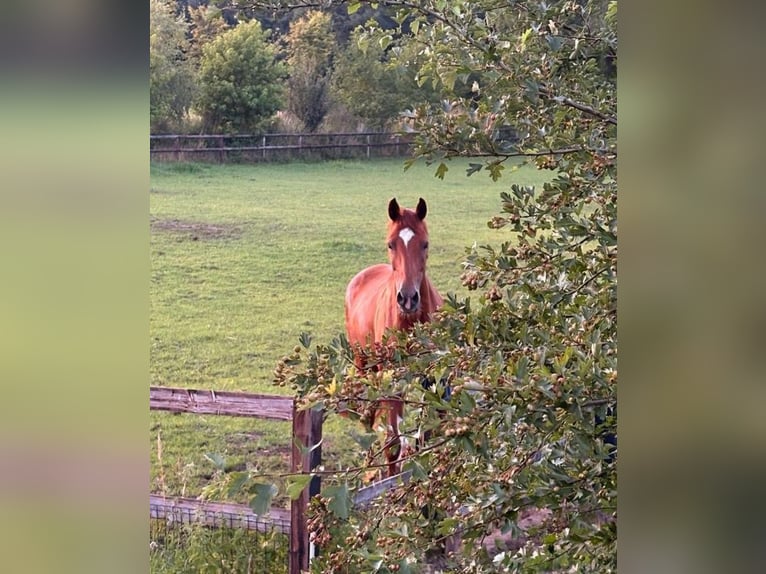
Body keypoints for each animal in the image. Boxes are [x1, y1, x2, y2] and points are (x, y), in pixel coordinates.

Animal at [344, 197, 443, 477]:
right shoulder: (392, 381)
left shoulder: (431, 379)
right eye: (391, 244)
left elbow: (425, 437)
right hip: (364, 366)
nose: (407, 298)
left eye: (425, 243)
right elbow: (393, 444)